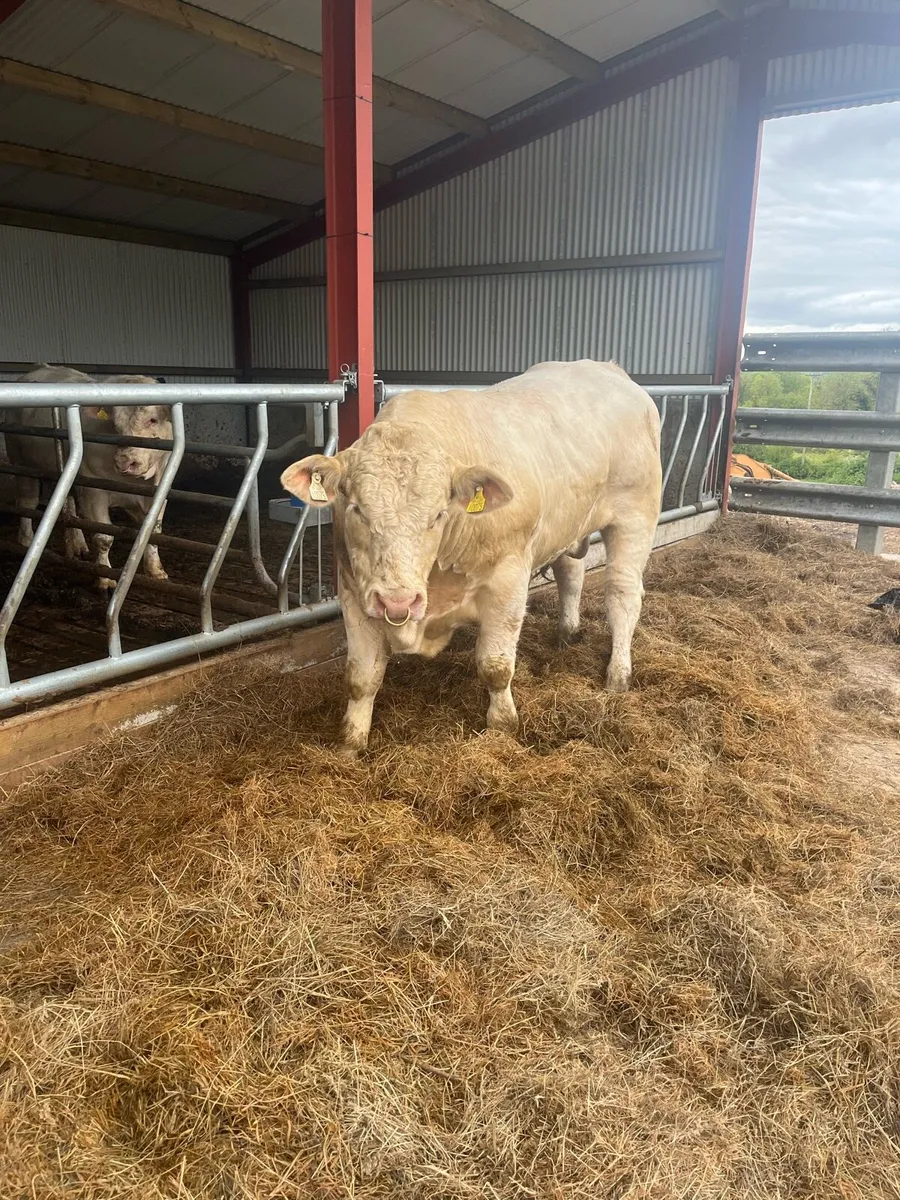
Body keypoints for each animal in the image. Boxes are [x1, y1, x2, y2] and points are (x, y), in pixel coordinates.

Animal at [4, 364, 173, 588]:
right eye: (115, 424)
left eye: (152, 419)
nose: (124, 462)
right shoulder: (94, 490)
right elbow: (103, 537)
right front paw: (105, 578)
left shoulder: (161, 489)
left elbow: (154, 532)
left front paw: (156, 571)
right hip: (21, 461)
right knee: (27, 502)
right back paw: (26, 540)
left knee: (69, 506)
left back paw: (77, 546)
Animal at [281, 360, 662, 755]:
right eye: (356, 508)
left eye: (438, 514)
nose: (399, 602)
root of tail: (608, 368)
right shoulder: (355, 592)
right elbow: (361, 678)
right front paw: (349, 745)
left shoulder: (509, 581)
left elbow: (496, 666)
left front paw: (502, 727)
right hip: (571, 523)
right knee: (571, 573)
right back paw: (567, 633)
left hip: (636, 517)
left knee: (622, 596)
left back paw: (618, 675)